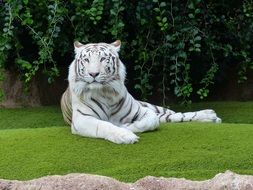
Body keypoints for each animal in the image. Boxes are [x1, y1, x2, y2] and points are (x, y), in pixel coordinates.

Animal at [60, 40, 220, 144]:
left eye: (103, 59)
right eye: (86, 60)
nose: (93, 74)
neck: (105, 92)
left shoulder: (144, 112)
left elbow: (151, 122)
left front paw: (126, 126)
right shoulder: (82, 119)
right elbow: (105, 125)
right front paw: (125, 135)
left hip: (154, 107)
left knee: (175, 115)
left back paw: (210, 115)